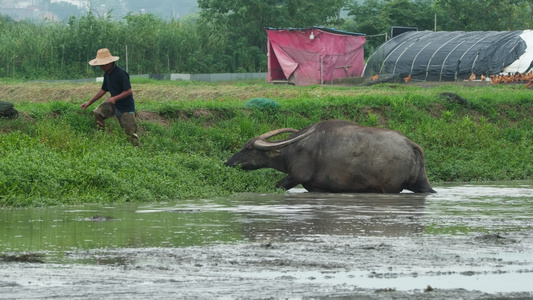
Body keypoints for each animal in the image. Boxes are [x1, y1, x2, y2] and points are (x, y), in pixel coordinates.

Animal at [227, 120, 434, 193]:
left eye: (247, 148)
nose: (228, 162)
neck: (295, 149)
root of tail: (410, 144)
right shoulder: (315, 187)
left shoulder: (297, 176)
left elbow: (278, 185)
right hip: (422, 184)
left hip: (390, 189)